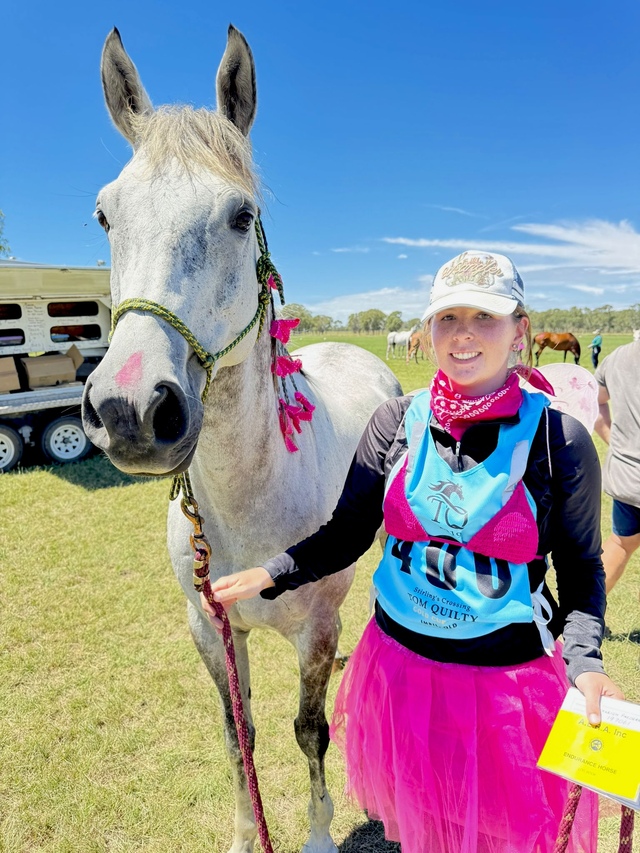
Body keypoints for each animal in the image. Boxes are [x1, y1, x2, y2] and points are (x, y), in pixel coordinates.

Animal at [84, 26, 401, 853]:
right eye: (105, 215)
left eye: (238, 213)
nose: (131, 407)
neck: (248, 503)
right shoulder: (210, 630)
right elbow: (241, 737)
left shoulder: (315, 629)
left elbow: (310, 730)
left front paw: (318, 833)